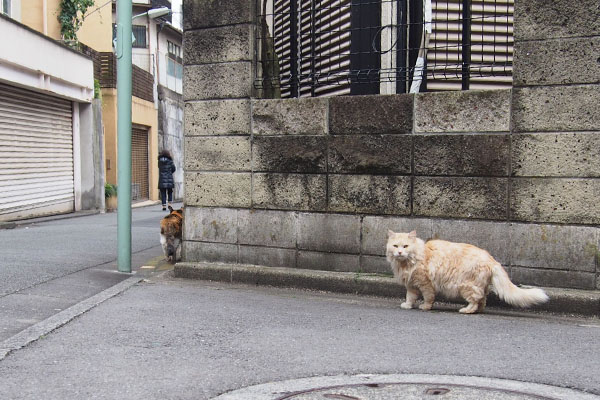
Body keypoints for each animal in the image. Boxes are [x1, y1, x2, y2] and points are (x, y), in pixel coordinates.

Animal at [386, 231, 552, 312]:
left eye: (405, 246)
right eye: (395, 246)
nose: (399, 252)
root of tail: (492, 260)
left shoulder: (425, 283)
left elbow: (428, 297)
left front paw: (425, 307)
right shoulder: (412, 285)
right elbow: (410, 297)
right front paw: (407, 305)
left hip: (467, 286)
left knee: (475, 300)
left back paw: (466, 310)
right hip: (478, 286)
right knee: (482, 300)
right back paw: (478, 310)